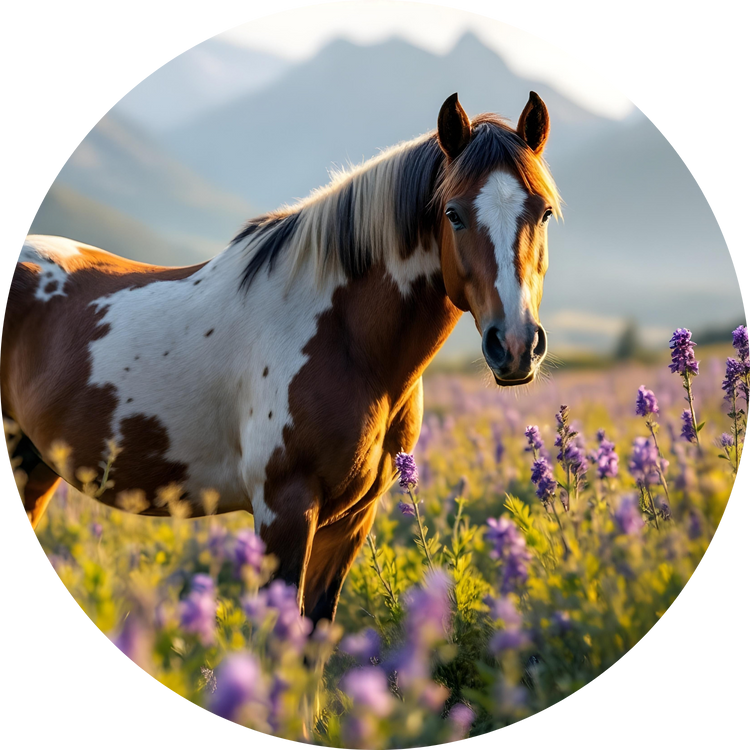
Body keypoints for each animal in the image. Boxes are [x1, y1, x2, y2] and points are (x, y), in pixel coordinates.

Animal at [2, 92, 560, 625]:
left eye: (544, 212)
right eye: (453, 214)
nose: (515, 345)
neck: (344, 339)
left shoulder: (351, 519)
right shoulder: (283, 509)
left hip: (36, 465)